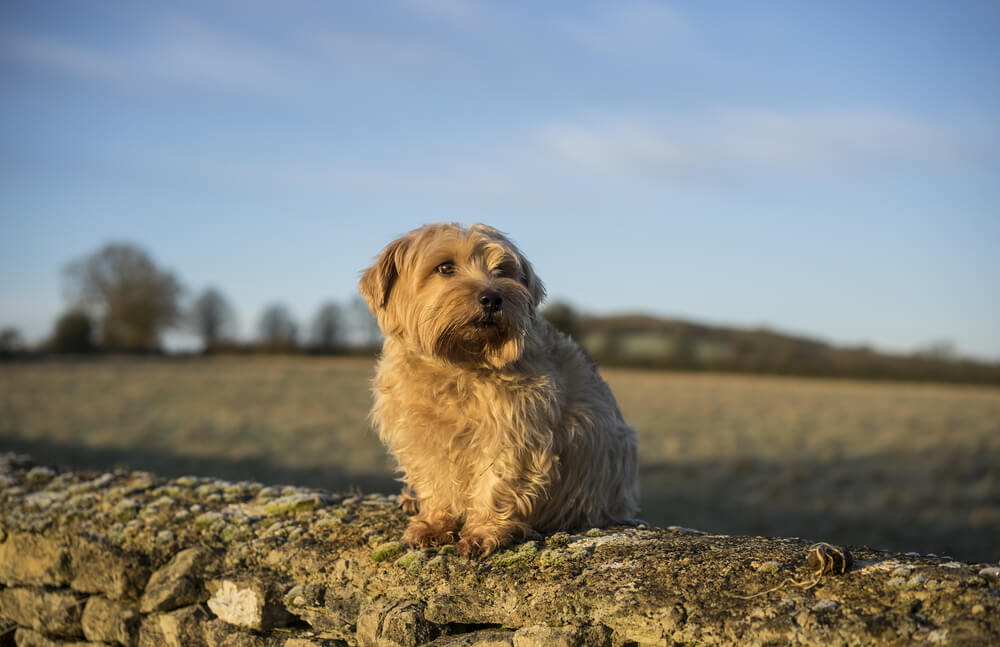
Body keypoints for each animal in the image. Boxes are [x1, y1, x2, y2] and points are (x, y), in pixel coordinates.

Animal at [362, 224, 640, 556]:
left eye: (503, 270)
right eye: (445, 267)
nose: (492, 298)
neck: (457, 364)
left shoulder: (516, 432)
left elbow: (498, 481)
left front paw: (484, 531)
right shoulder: (420, 436)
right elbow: (434, 482)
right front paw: (433, 523)